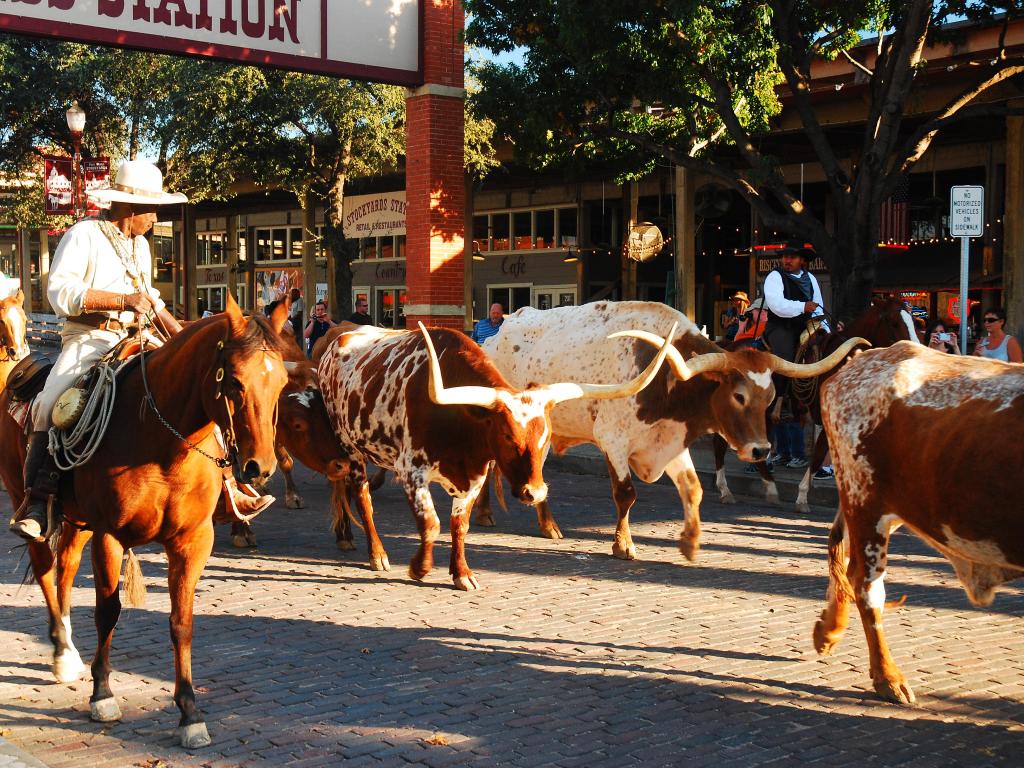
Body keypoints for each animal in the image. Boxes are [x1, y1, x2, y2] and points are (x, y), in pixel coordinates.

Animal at [1, 296, 288, 753]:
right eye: (235, 381)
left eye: (281, 382)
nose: (259, 468)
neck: (161, 442)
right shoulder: (109, 535)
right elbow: (108, 612)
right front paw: (102, 695)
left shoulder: (192, 540)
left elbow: (181, 622)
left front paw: (190, 713)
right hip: (26, 501)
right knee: (46, 570)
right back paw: (62, 653)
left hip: (77, 522)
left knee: (65, 573)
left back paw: (69, 649)